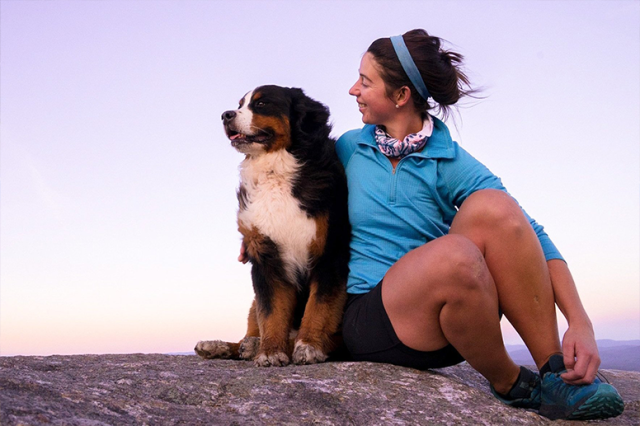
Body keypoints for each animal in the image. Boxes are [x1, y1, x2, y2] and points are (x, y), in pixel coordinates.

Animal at [198, 85, 352, 366]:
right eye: (240, 104)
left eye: (261, 104)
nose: (226, 115)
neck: (275, 173)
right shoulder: (265, 256)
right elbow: (271, 312)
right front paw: (269, 351)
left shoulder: (330, 254)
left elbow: (319, 307)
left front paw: (309, 345)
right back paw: (226, 346)